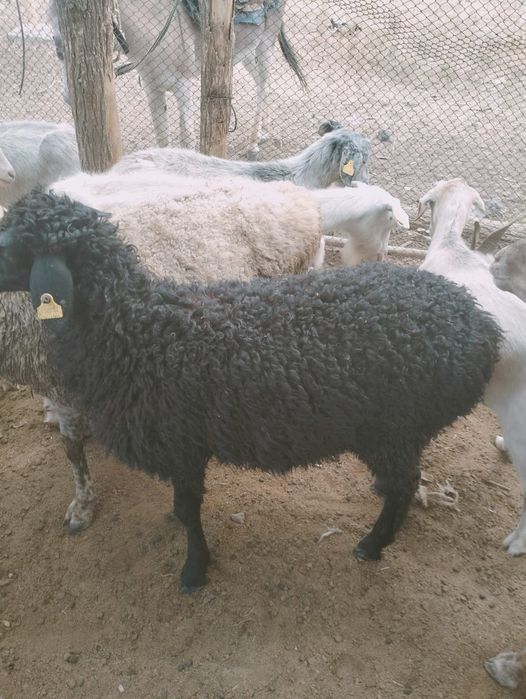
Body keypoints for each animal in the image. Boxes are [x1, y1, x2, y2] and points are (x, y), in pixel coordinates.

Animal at [0, 189, 501, 589]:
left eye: (11, 247)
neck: (140, 328)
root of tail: (481, 327)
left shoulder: (184, 443)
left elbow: (188, 511)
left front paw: (194, 571)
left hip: (393, 427)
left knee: (405, 485)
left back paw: (372, 545)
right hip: (398, 433)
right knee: (403, 481)